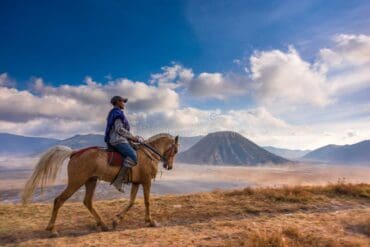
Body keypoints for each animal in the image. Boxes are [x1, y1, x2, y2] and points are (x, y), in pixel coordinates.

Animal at [21, 134, 179, 236]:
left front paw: (116, 220)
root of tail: (74, 153)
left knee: (87, 201)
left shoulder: (136, 182)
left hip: (91, 181)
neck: (148, 154)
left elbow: (131, 201)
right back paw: (52, 229)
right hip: (76, 182)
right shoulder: (146, 181)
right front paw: (151, 221)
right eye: (175, 150)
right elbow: (147, 201)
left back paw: (103, 225)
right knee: (59, 200)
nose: (169, 166)